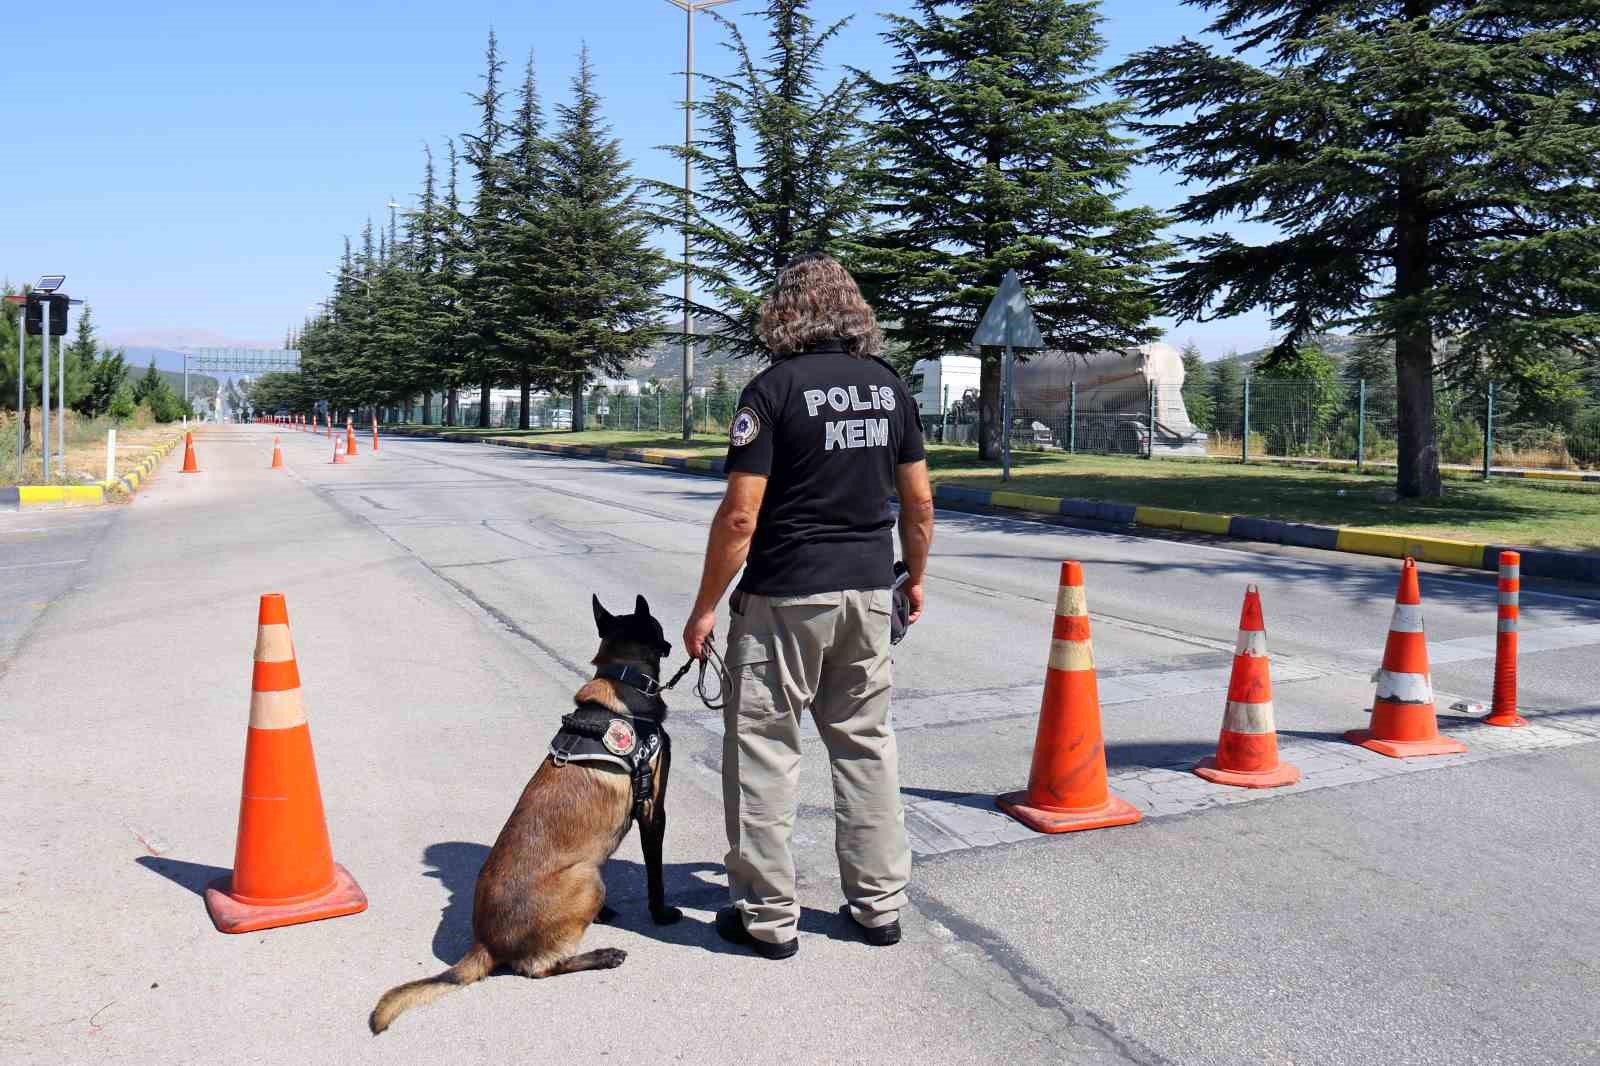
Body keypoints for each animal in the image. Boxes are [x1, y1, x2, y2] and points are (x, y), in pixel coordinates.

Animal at [371, 589, 684, 1030]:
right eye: (657, 627)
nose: (673, 643)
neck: (621, 679)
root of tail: (485, 942)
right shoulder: (653, 809)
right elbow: (656, 875)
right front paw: (661, 912)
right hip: (588, 877)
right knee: (538, 968)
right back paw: (602, 954)